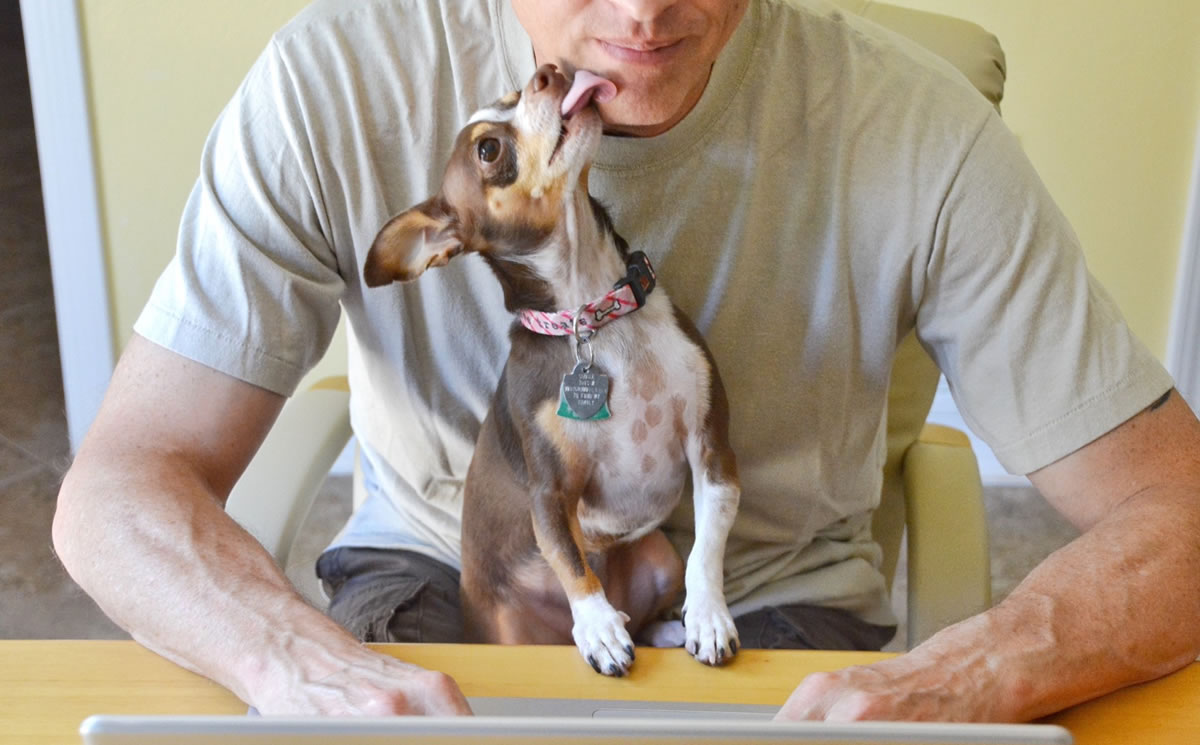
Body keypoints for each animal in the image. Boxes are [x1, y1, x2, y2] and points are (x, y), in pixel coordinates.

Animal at [362, 66, 739, 676]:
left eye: (515, 93)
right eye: (489, 150)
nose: (550, 72)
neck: (594, 315)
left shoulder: (712, 452)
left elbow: (707, 549)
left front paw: (707, 616)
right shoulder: (549, 495)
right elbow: (569, 562)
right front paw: (599, 628)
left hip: (656, 551)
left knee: (656, 594)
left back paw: (663, 628)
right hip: (509, 631)